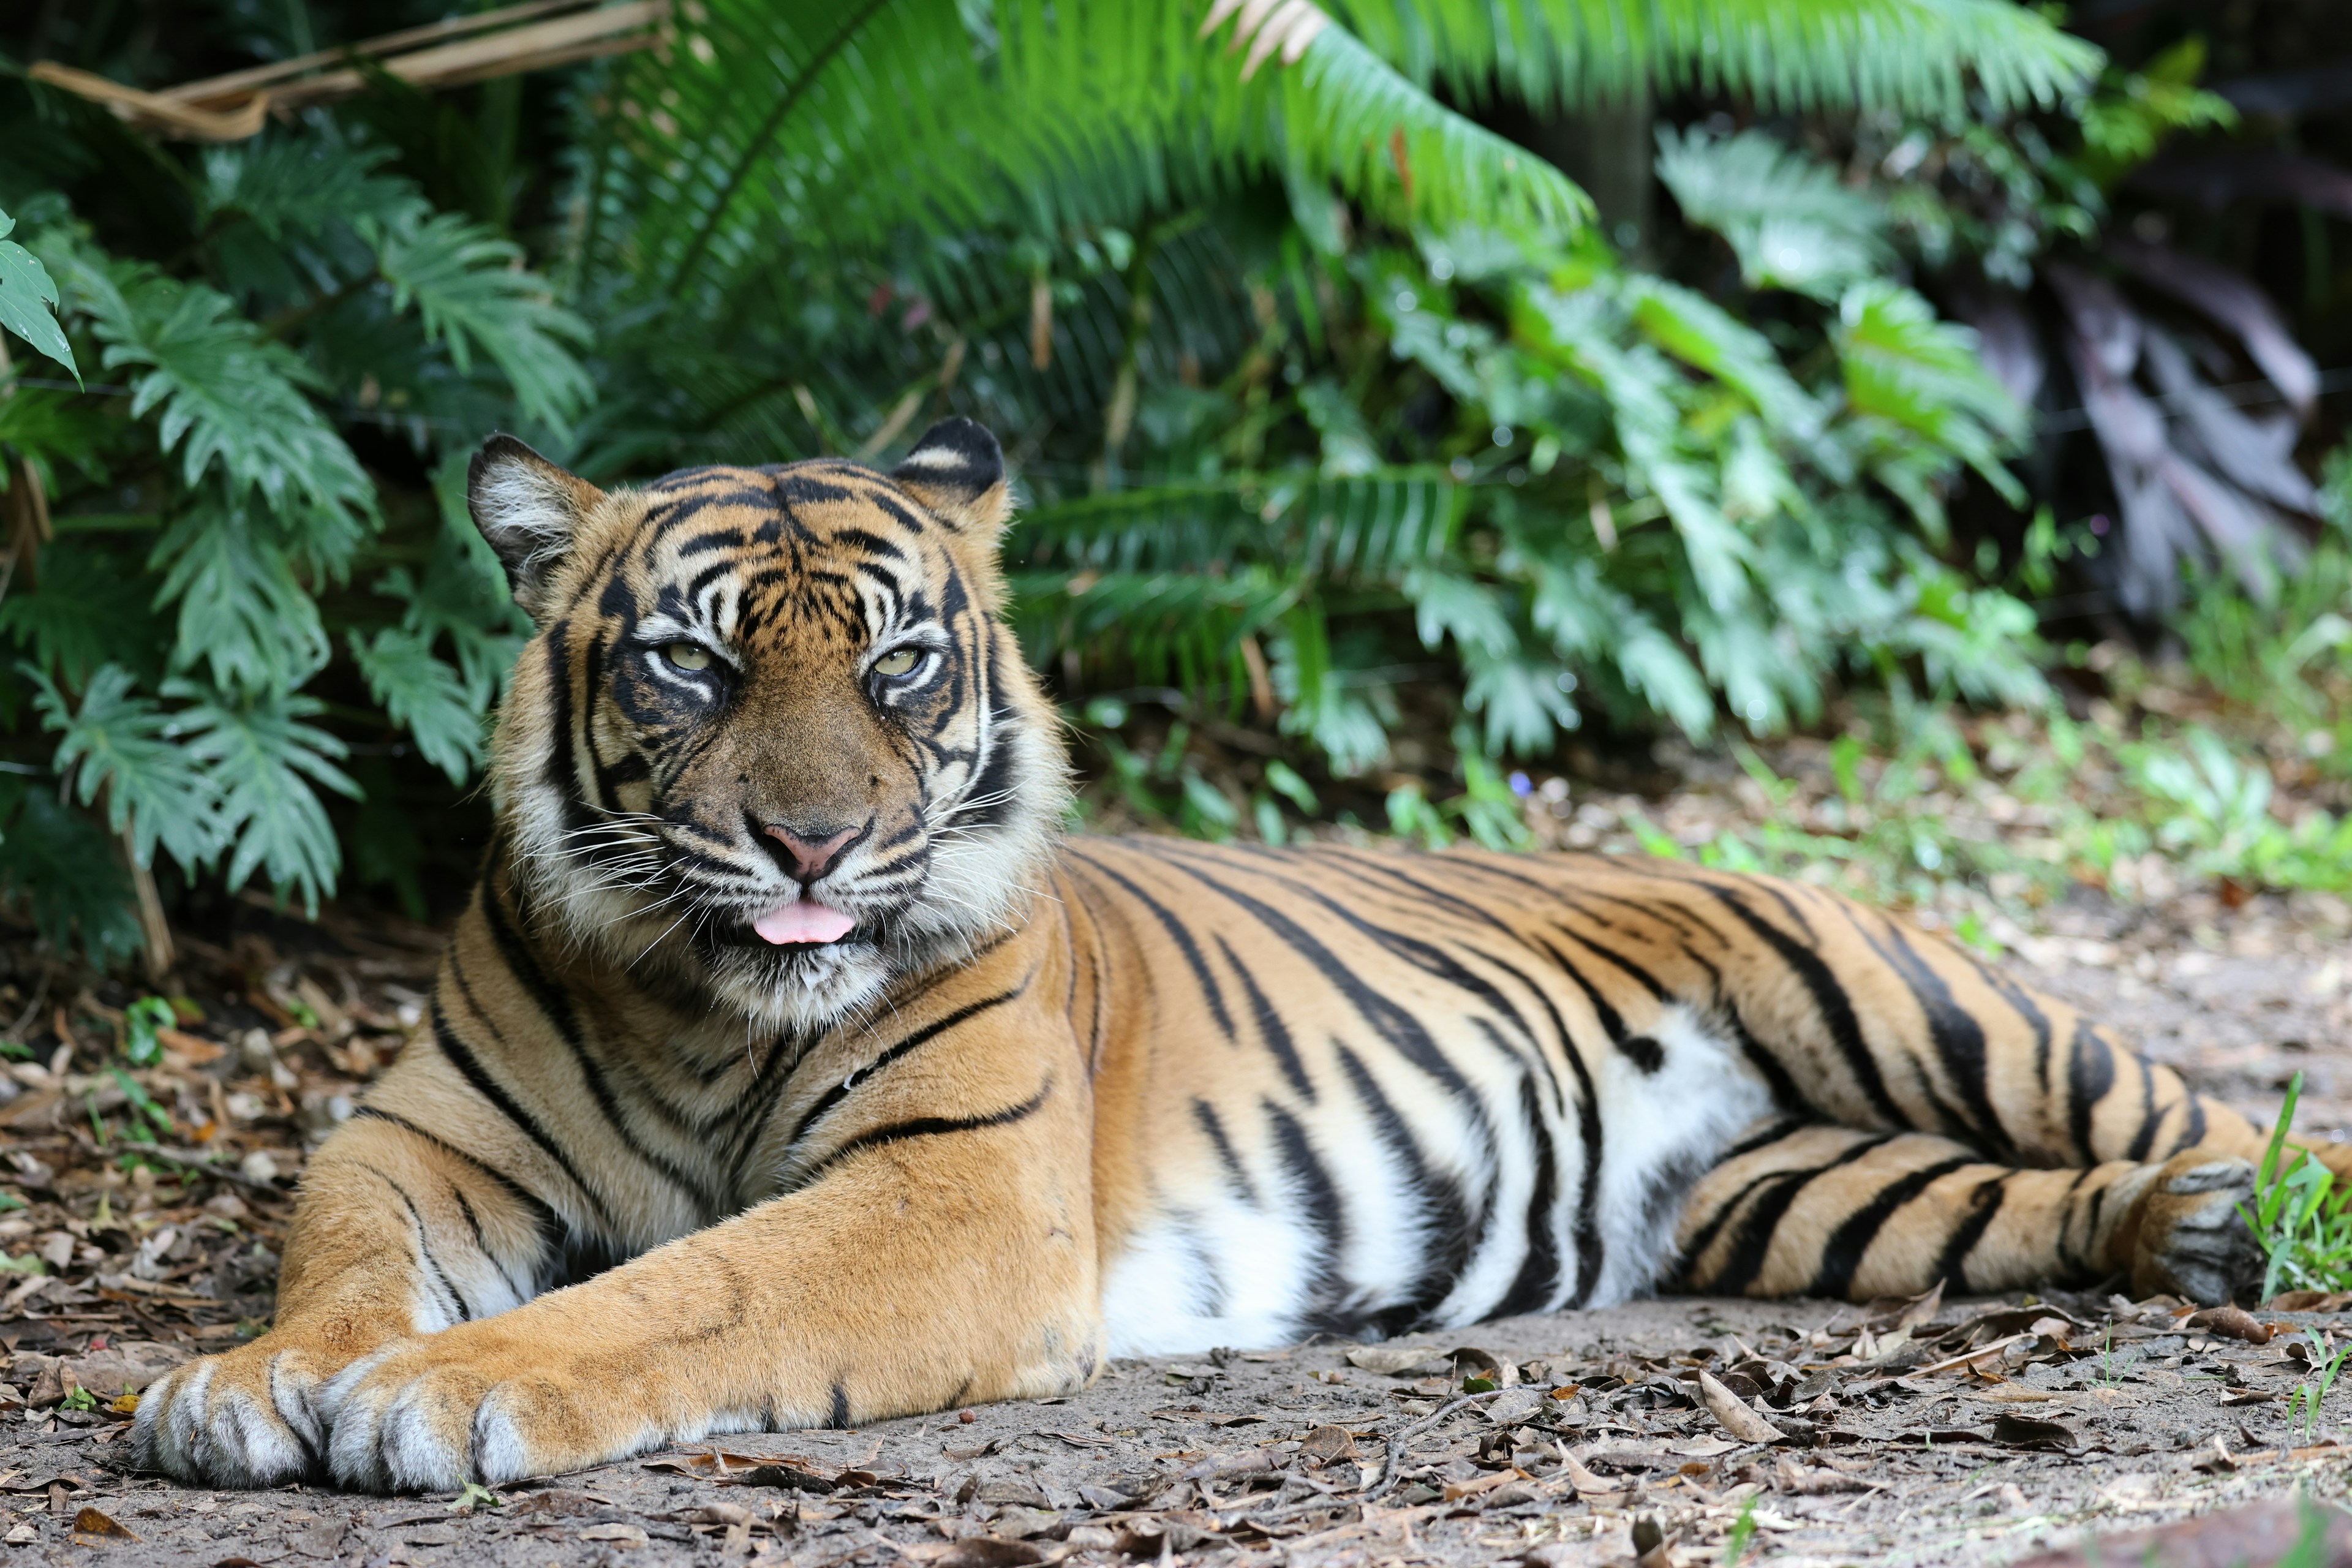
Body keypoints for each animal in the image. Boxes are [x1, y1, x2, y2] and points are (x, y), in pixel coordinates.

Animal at [142, 416, 2333, 1495]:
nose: (813, 839)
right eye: (689, 661)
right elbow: (343, 1257)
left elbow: (692, 1287)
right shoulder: (423, 1139)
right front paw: (247, 1387)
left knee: (2190, 1097)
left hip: (1913, 995)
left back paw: (2240, 1210)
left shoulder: (953, 1193)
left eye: (896, 663)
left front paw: (445, 1395)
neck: (704, 1004)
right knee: (2014, 1203)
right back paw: (2178, 1233)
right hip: (1805, 1198)